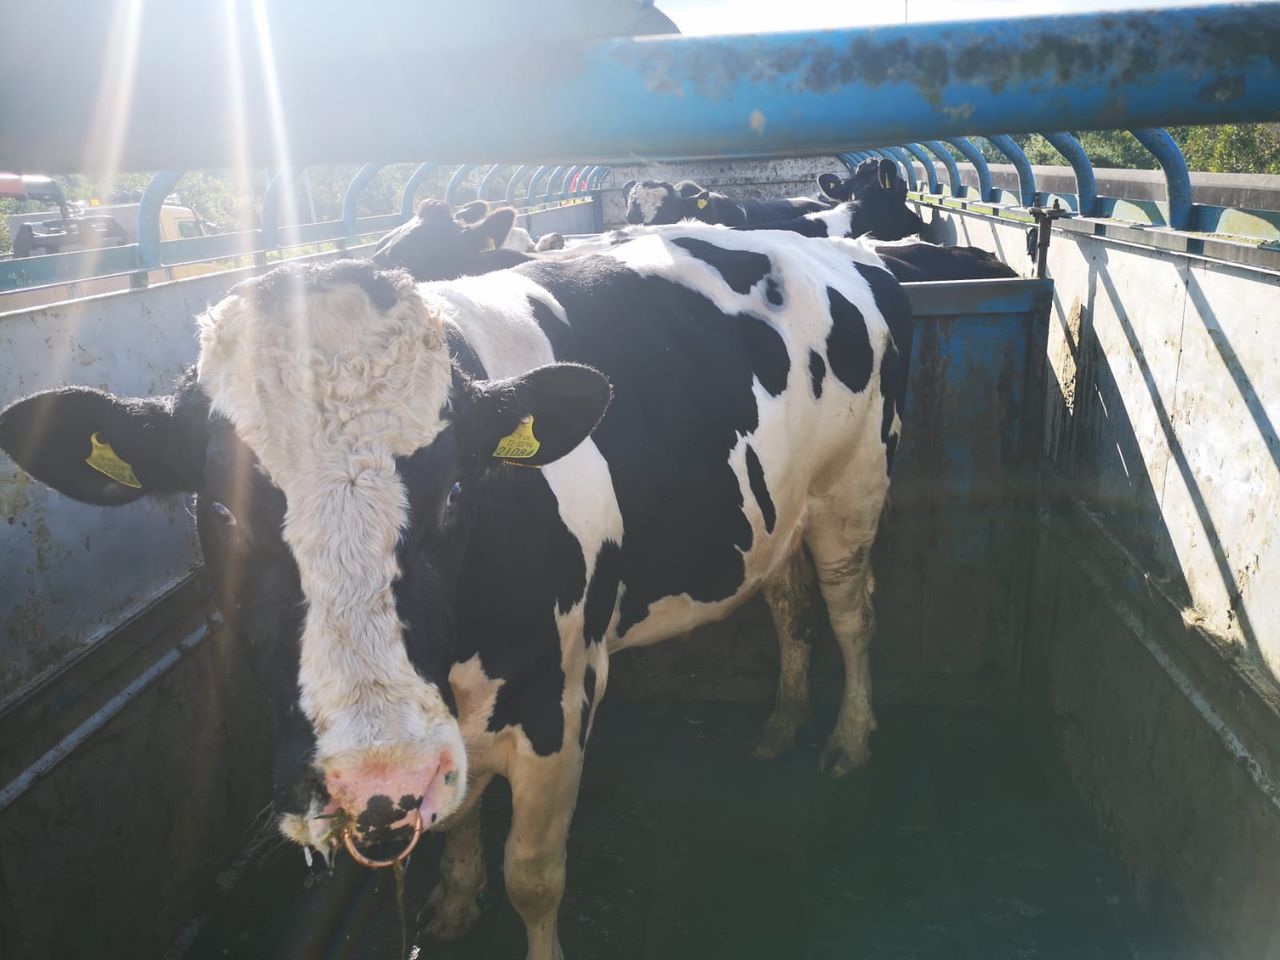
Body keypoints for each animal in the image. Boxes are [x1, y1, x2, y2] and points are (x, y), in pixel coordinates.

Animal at [0, 226, 912, 960]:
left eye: (455, 493)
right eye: (220, 508)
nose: (371, 783)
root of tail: (842, 246)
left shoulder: (561, 700)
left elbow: (533, 877)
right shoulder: (451, 726)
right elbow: (463, 811)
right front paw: (449, 902)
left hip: (855, 491)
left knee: (854, 617)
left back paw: (848, 740)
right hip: (783, 513)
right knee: (789, 606)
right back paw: (782, 723)